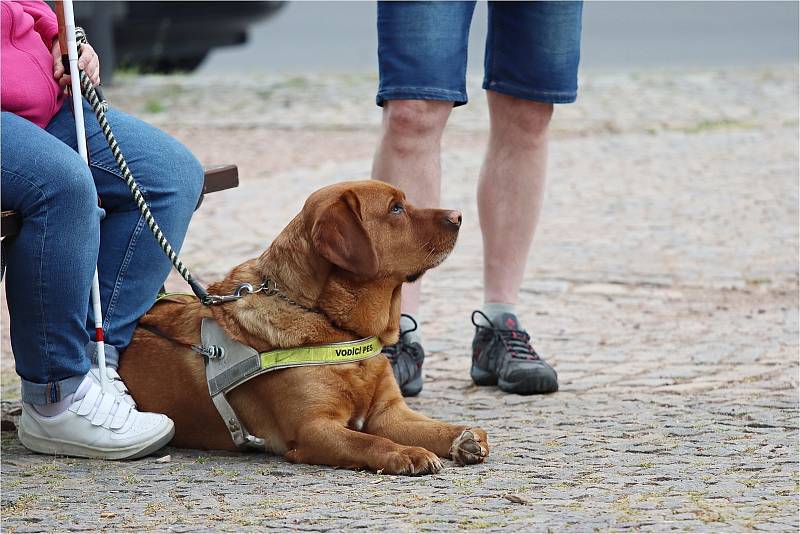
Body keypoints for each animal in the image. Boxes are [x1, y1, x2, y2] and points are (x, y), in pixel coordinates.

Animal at [120, 181, 488, 478]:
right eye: (395, 208)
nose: (459, 216)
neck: (338, 328)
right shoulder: (314, 428)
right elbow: (371, 442)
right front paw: (406, 453)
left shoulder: (390, 414)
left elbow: (433, 428)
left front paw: (464, 436)